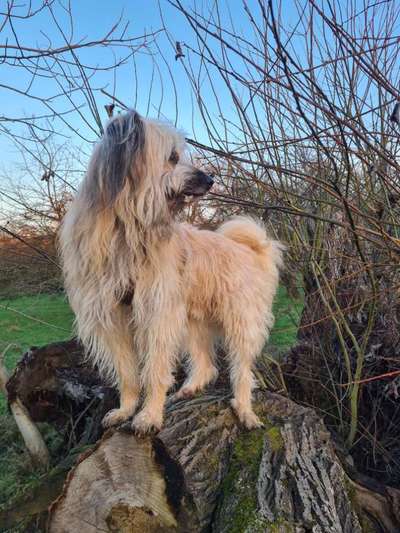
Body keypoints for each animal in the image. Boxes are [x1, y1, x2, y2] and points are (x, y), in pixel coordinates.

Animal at [60, 109, 284, 432]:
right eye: (173, 157)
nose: (210, 180)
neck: (126, 230)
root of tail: (253, 250)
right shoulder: (112, 318)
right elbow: (127, 373)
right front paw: (126, 409)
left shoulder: (157, 315)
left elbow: (154, 370)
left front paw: (150, 414)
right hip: (193, 320)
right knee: (206, 364)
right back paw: (191, 388)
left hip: (241, 321)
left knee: (242, 371)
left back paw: (244, 410)